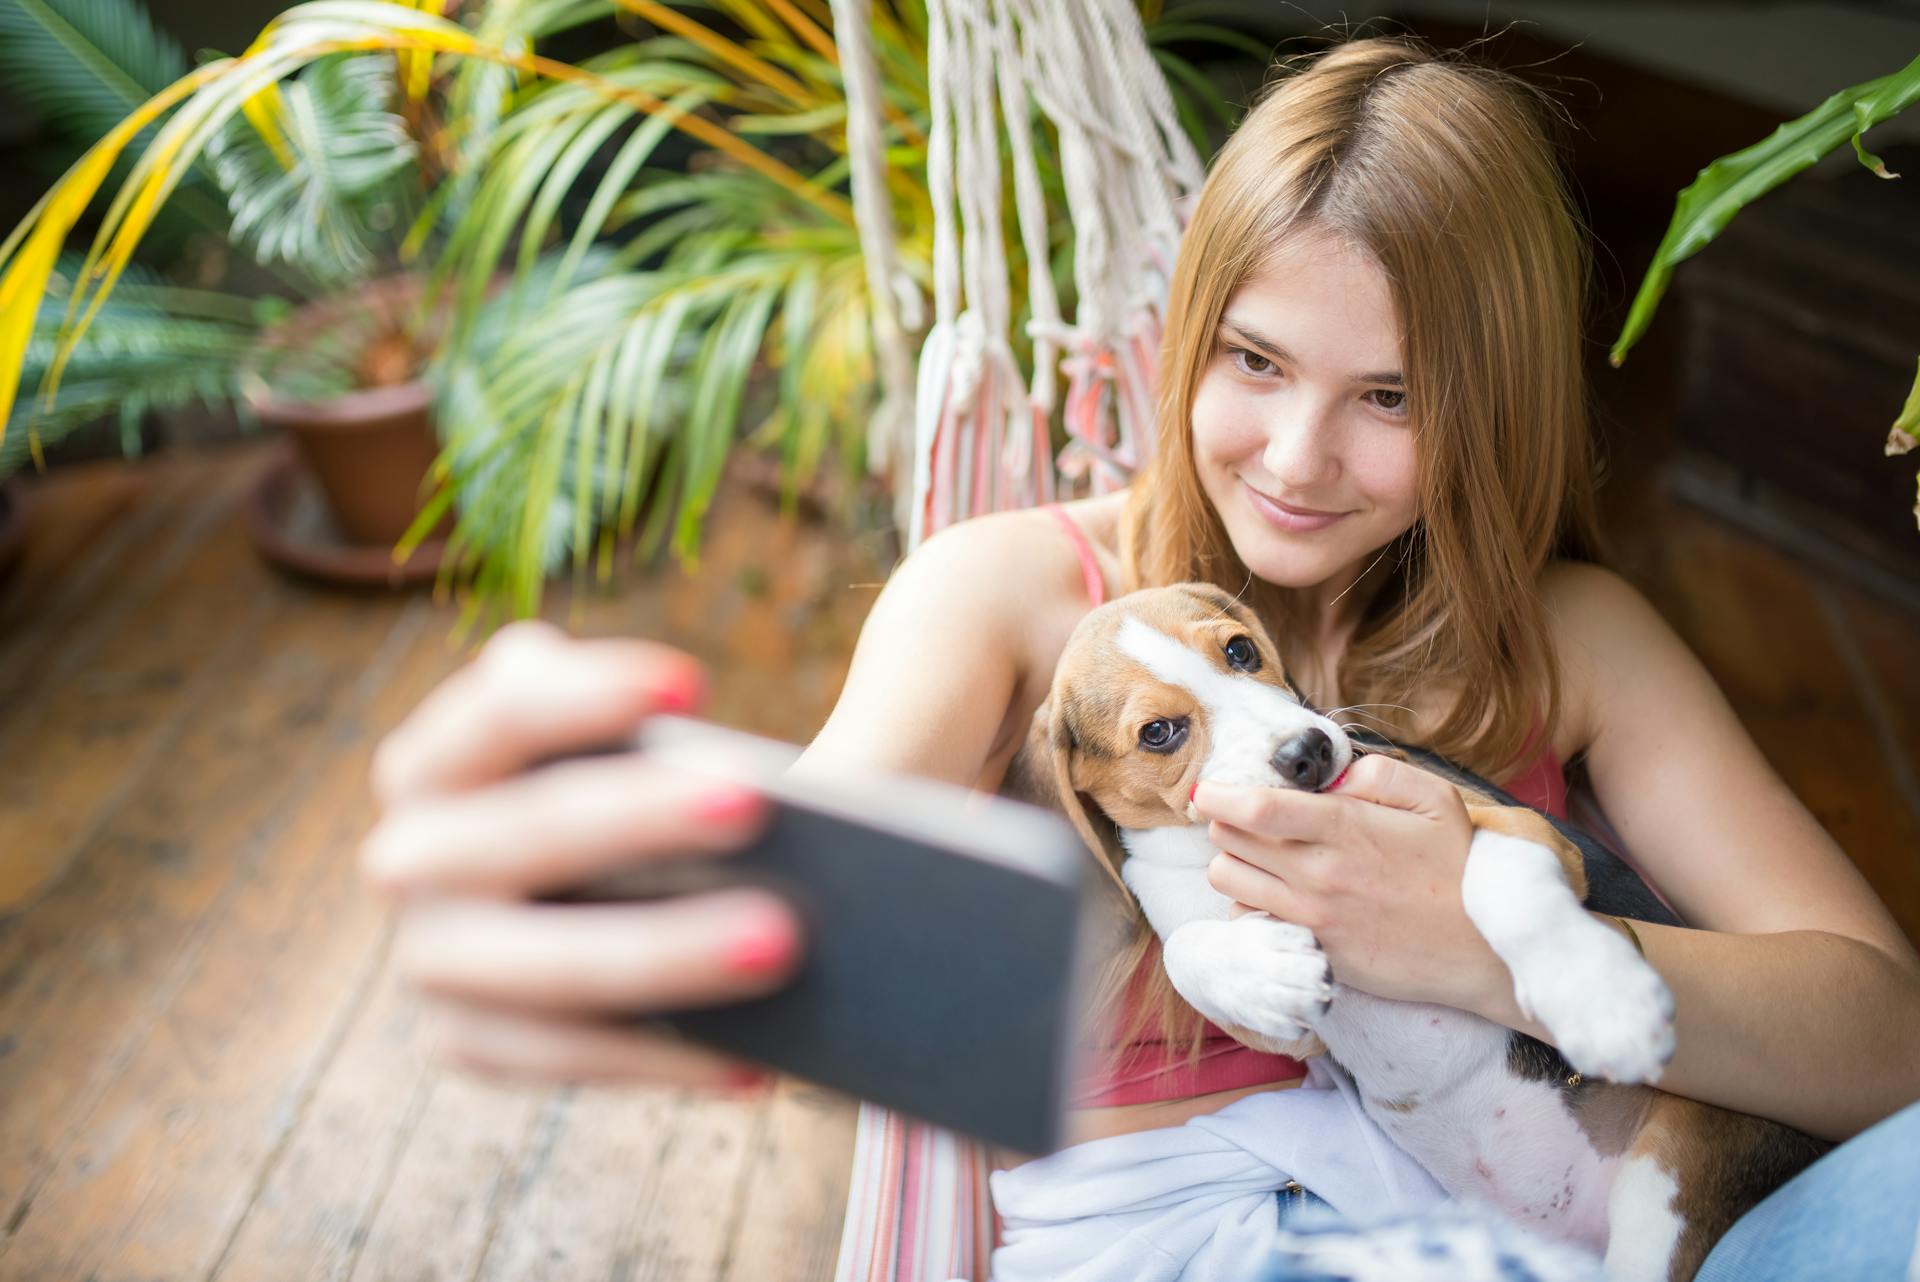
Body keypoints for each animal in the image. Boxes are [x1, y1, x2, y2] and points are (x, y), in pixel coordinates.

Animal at [1013, 583, 1820, 1282]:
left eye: (1240, 651)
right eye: (1158, 733)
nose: (1309, 751)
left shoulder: (1520, 831)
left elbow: (1498, 876)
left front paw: (1598, 999)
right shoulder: (1285, 1035)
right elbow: (1188, 949)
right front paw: (1263, 969)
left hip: (1676, 1167)